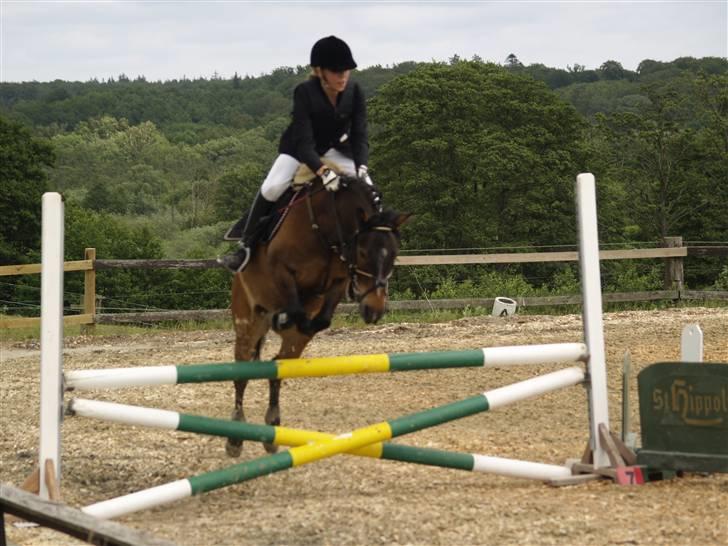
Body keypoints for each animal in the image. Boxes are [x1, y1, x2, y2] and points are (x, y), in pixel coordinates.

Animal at [226, 174, 410, 454]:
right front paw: (285, 317)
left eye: (395, 255)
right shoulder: (282, 271)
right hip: (248, 320)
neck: (326, 227)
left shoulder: (337, 281)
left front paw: (289, 320)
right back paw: (235, 437)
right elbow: (296, 309)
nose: (374, 310)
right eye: (364, 252)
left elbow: (320, 320)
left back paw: (272, 426)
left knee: (278, 363)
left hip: (290, 341)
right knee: (242, 371)